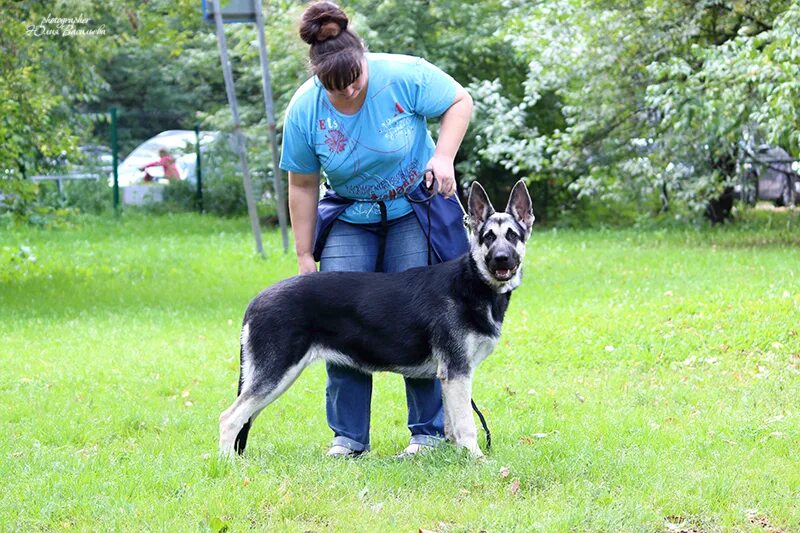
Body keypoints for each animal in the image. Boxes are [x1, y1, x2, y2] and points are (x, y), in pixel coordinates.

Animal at [219, 180, 536, 458]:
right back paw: (228, 466)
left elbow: (452, 426)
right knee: (229, 418)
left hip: (275, 378)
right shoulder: (458, 373)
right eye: (488, 238)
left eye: (512, 236)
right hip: (276, 375)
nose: (502, 259)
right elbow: (467, 424)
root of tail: (256, 300)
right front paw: (476, 460)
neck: (473, 283)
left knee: (245, 417)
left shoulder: (450, 377)